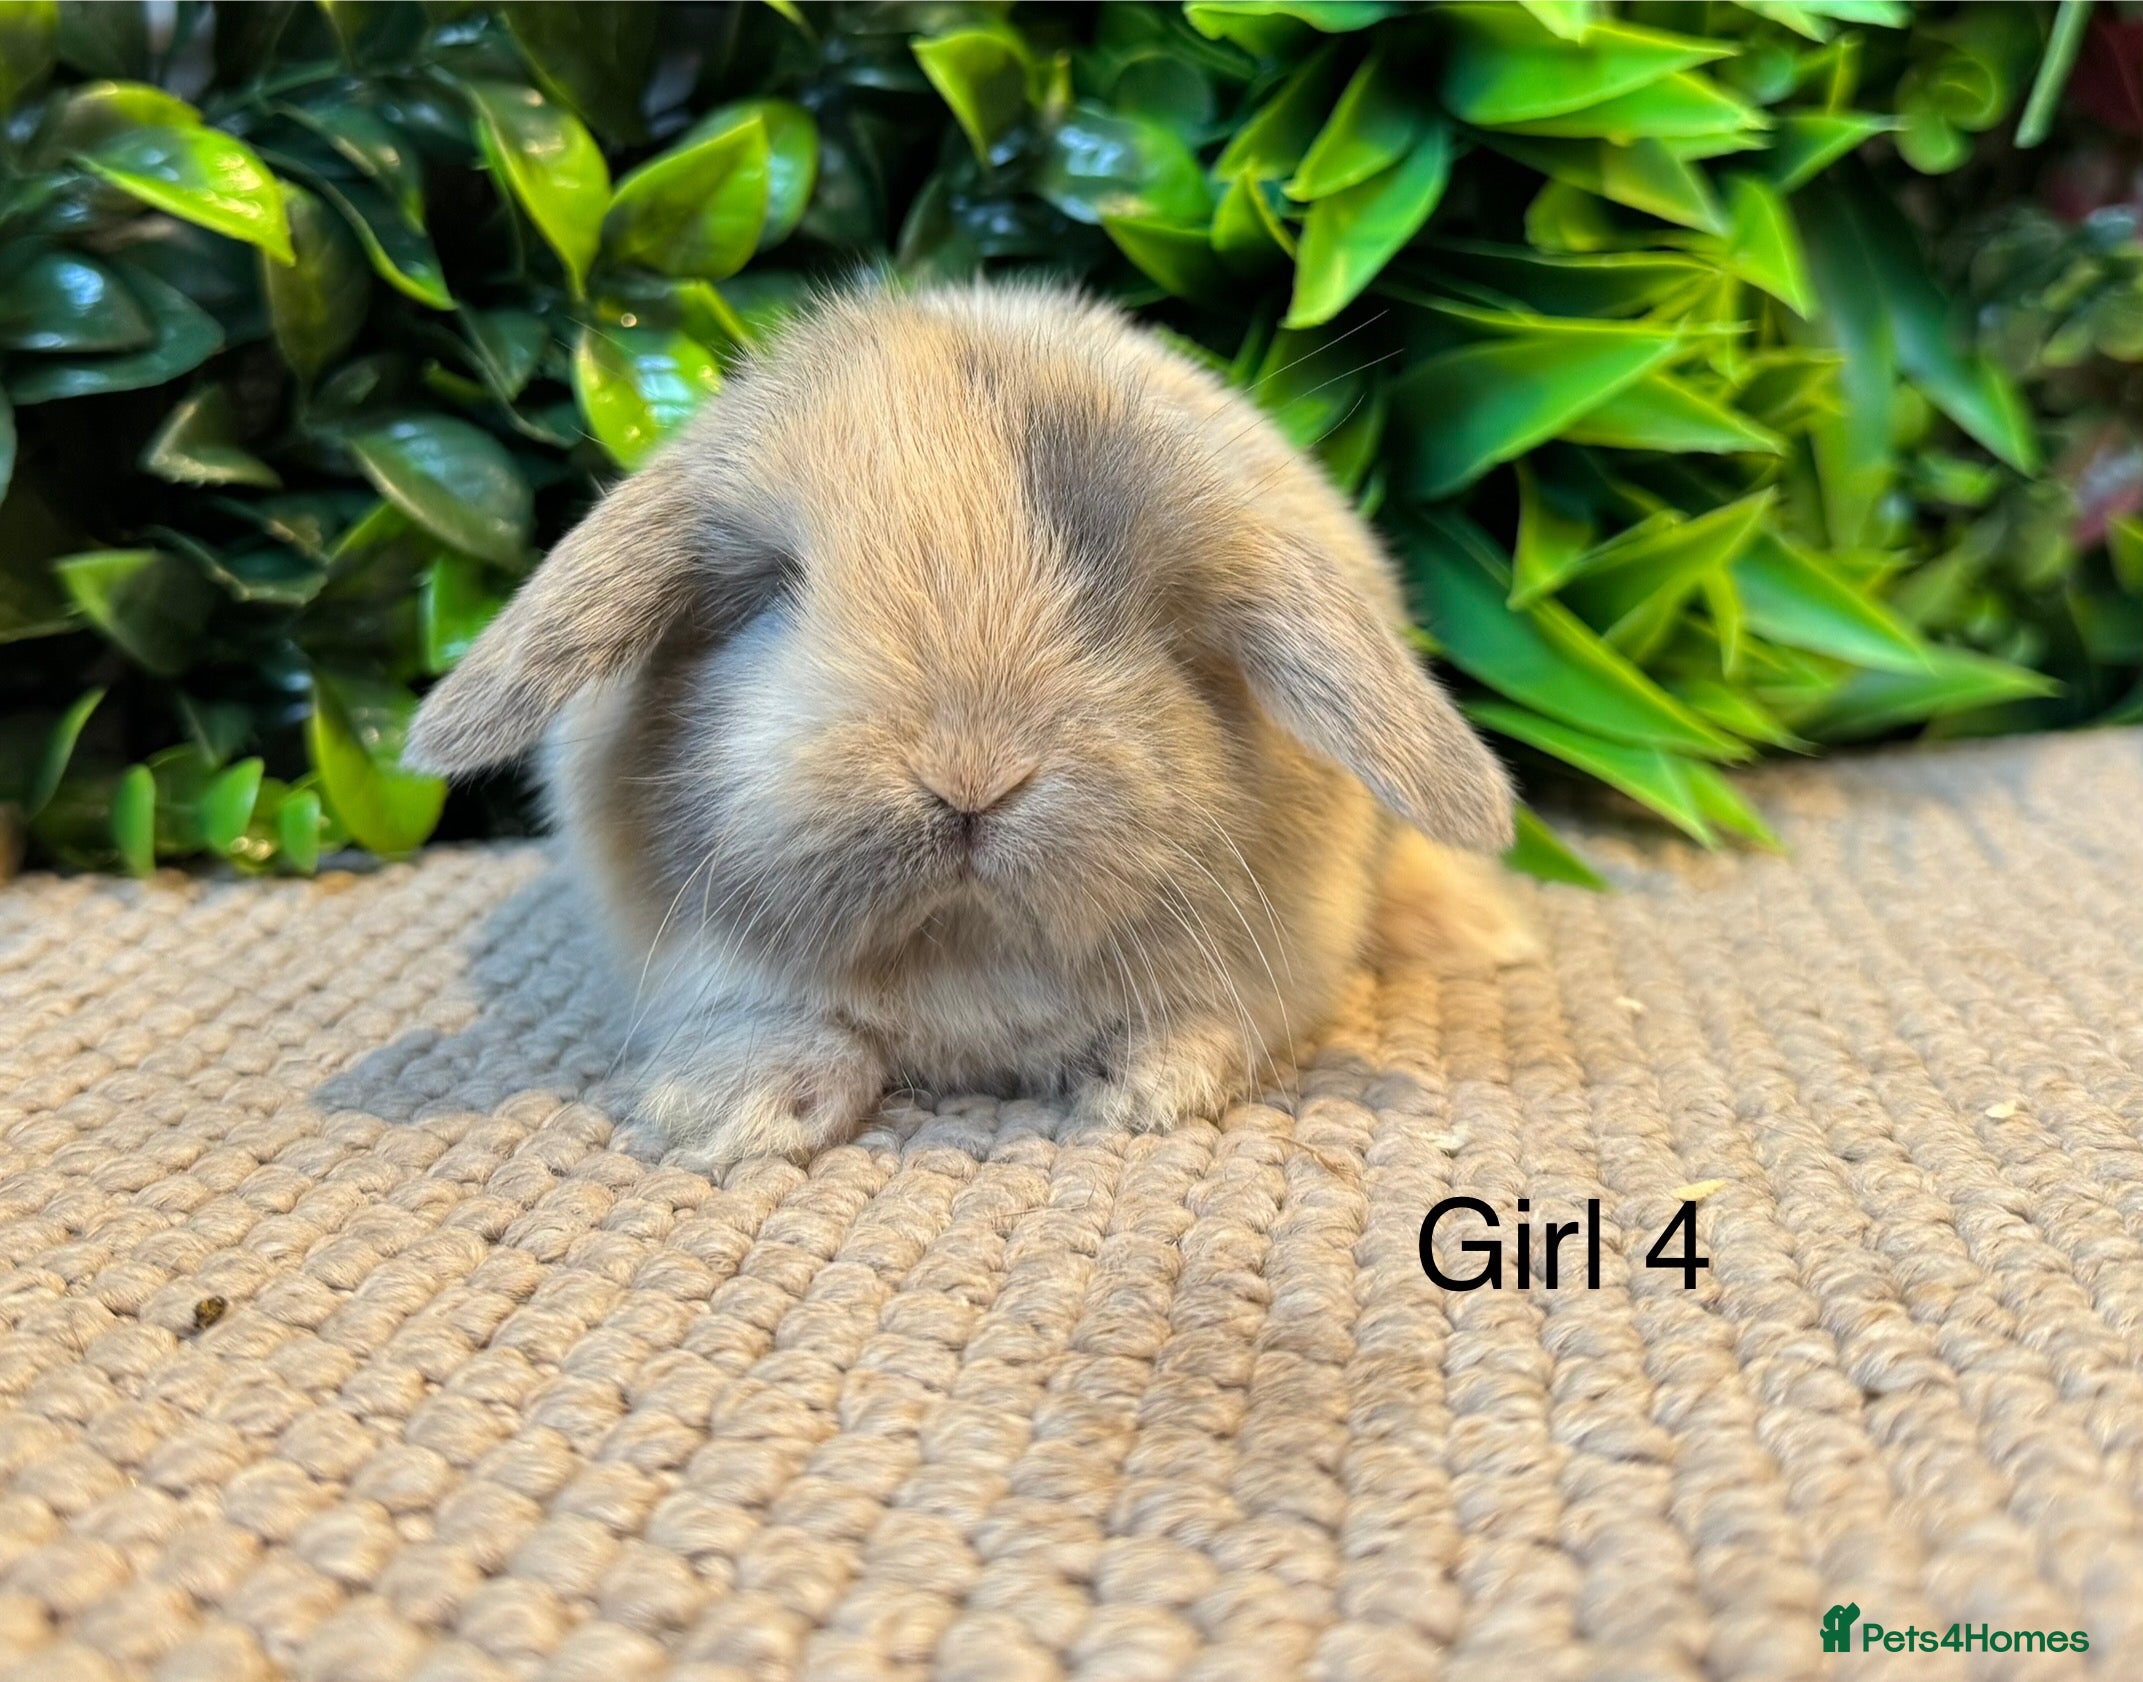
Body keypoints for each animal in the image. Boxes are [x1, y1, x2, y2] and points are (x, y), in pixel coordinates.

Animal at [405, 279, 1534, 1169]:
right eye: (773, 588)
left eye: (1150, 614)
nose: (970, 776)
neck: (964, 954)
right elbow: (774, 1024)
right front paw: (733, 1115)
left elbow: (1207, 1025)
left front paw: (1141, 1090)